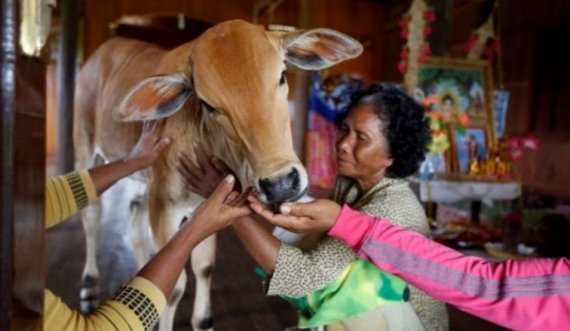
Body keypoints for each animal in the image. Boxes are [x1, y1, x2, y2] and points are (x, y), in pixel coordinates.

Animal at [73, 19, 362, 330]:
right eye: (208, 104)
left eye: (283, 76)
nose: (281, 184)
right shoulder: (164, 202)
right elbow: (171, 287)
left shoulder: (203, 203)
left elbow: (204, 267)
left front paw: (203, 318)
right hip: (86, 145)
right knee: (92, 214)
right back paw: (88, 286)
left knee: (134, 223)